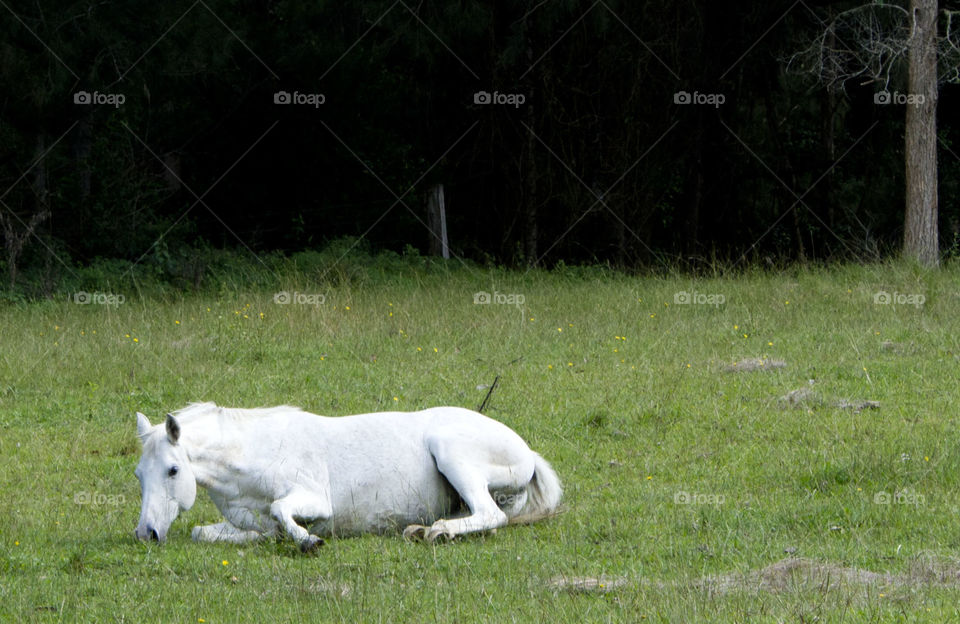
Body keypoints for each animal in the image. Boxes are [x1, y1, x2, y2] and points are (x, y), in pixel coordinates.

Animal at [131, 402, 560, 548]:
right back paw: (422, 529)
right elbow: (205, 532)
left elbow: (282, 512)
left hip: (451, 451)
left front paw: (308, 540)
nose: (146, 534)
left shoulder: (314, 500)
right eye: (139, 475)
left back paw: (438, 533)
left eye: (172, 470)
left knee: (491, 515)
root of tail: (527, 453)